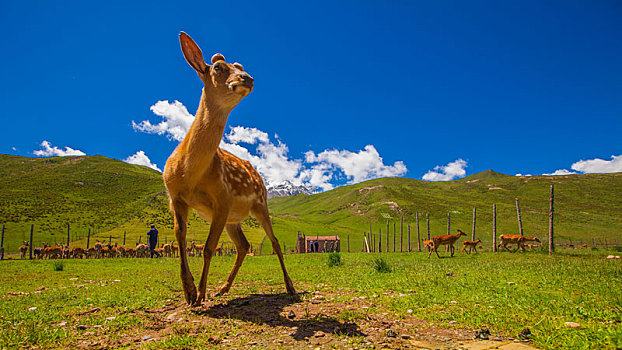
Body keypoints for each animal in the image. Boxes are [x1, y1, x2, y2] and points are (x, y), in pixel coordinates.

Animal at [163, 32, 294, 306]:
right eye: (218, 67)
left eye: (241, 66)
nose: (247, 78)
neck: (190, 174)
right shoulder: (175, 197)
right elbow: (180, 237)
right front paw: (189, 291)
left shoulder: (221, 198)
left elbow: (208, 247)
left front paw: (200, 293)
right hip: (234, 218)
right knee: (243, 245)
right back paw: (223, 288)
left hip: (260, 203)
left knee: (275, 242)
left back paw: (290, 287)